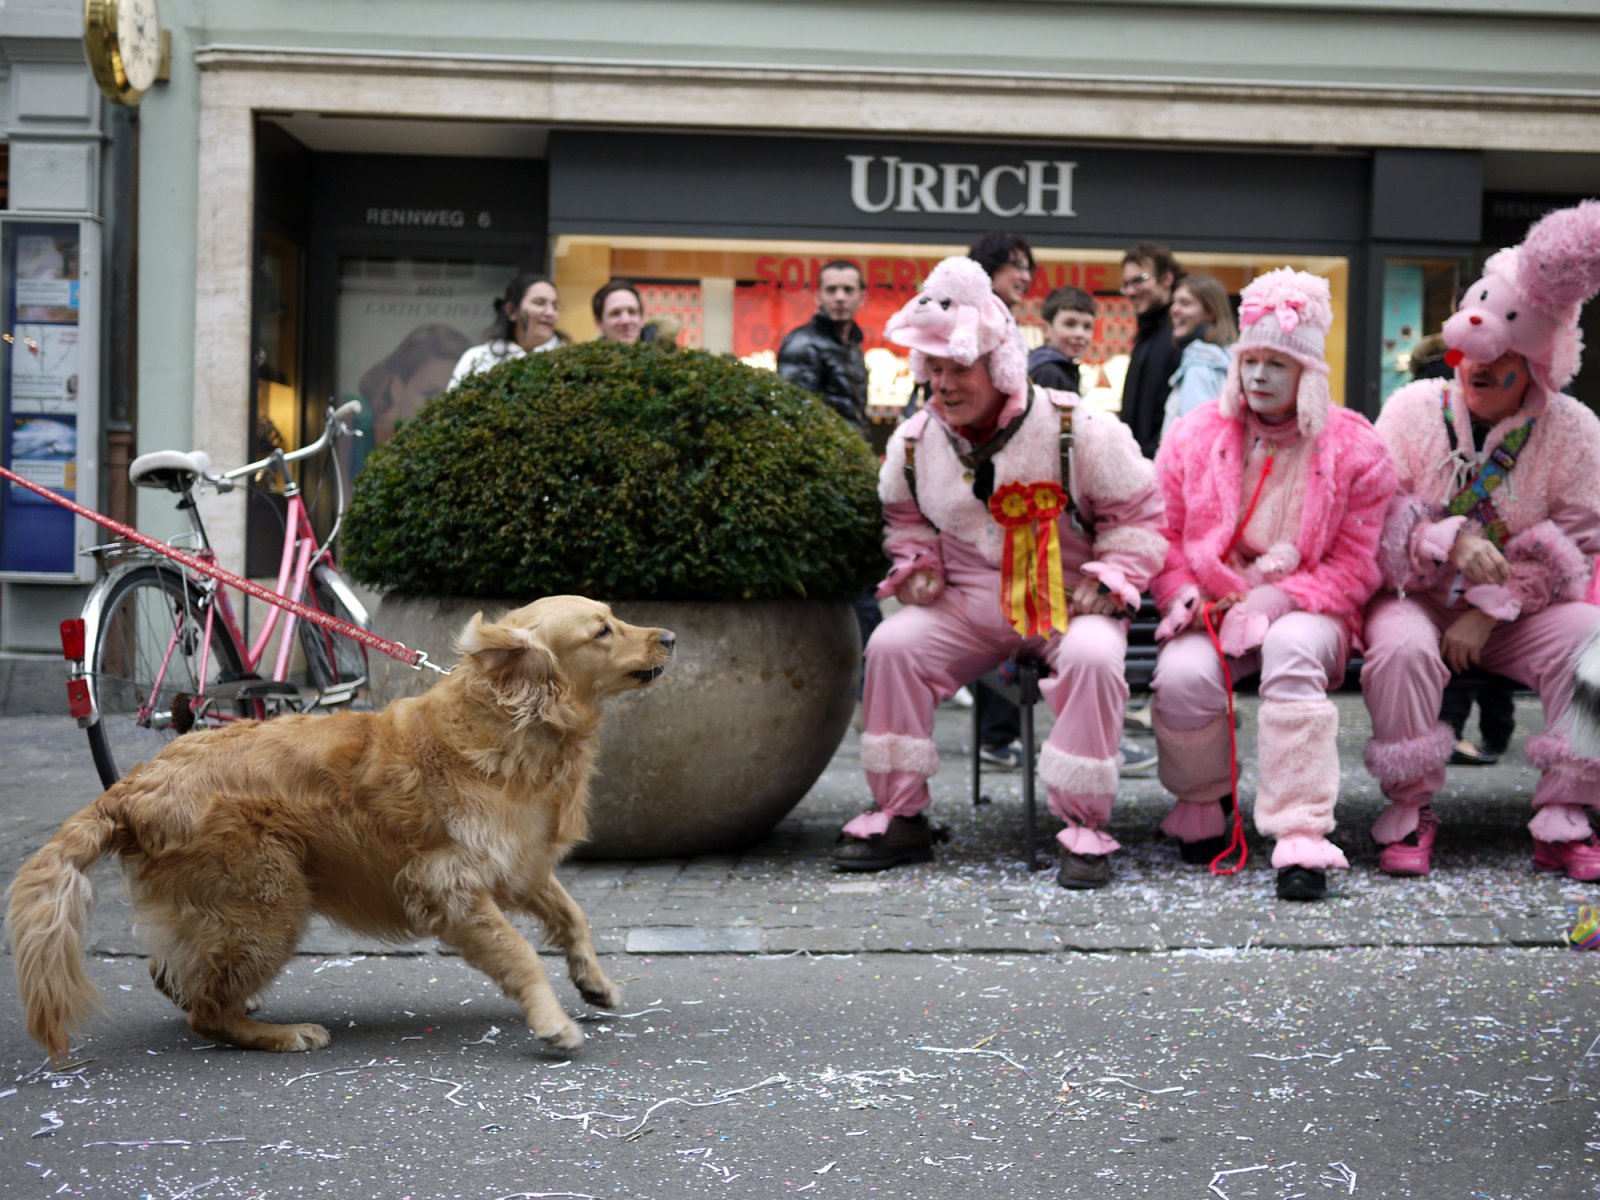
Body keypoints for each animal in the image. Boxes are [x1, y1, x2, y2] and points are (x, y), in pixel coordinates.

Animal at [6, 598, 672, 1062]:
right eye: (602, 630)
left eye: (614, 617)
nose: (669, 636)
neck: (513, 723)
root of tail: (130, 787)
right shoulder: (448, 883)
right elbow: (520, 952)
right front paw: (553, 1021)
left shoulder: (521, 865)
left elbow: (573, 917)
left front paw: (594, 983)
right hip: (271, 901)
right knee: (205, 1013)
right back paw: (279, 1033)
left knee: (171, 975)